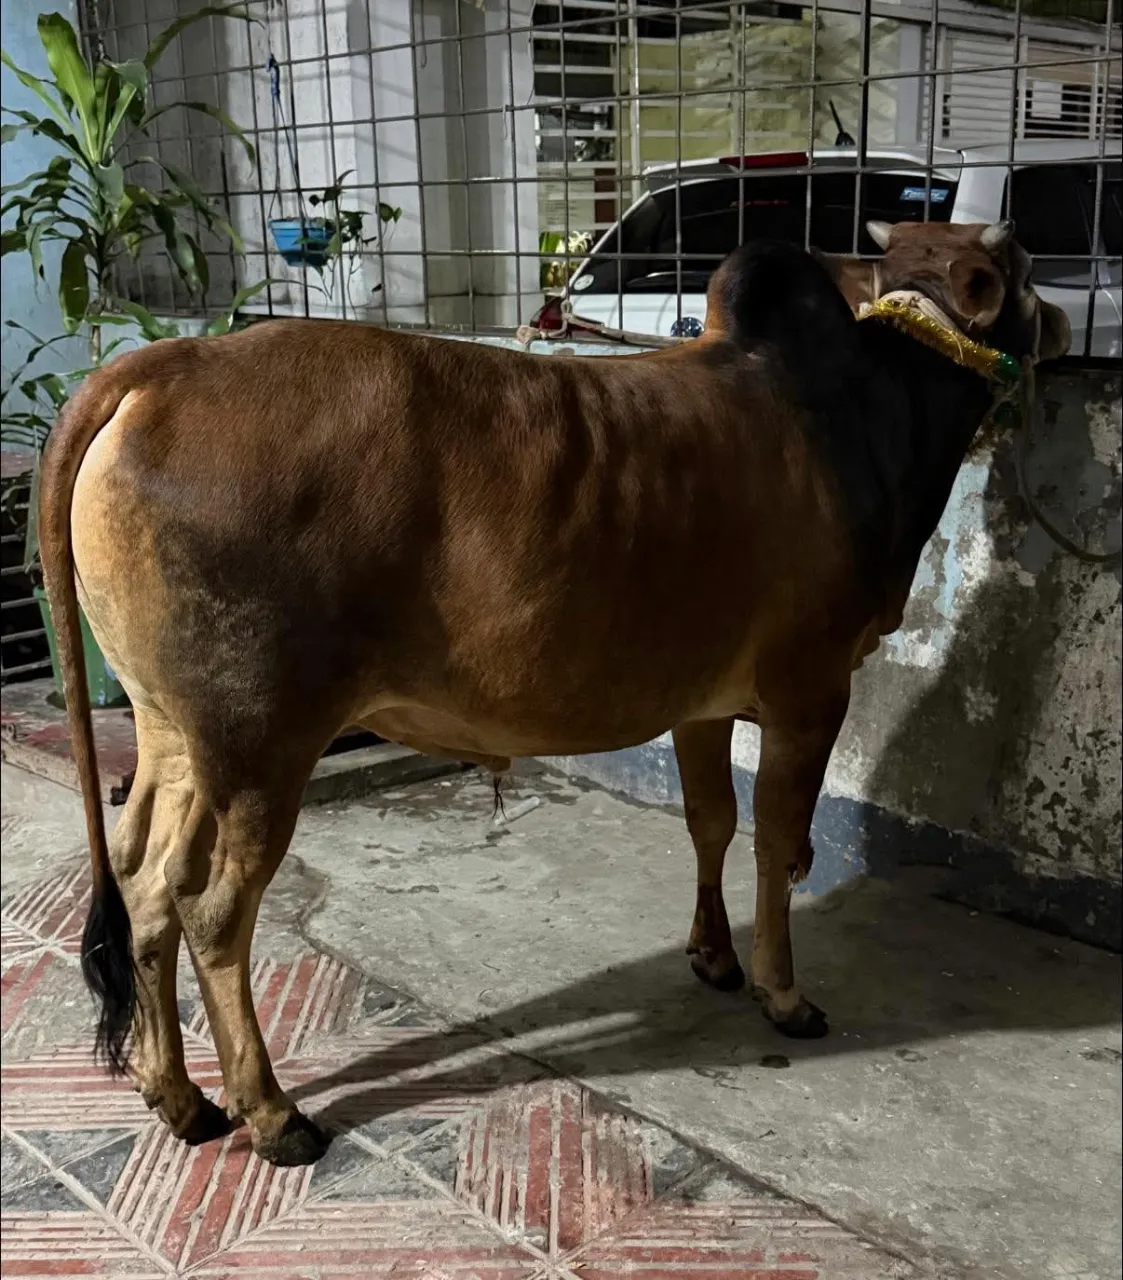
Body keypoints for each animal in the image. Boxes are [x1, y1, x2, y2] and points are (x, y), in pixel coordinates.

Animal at [38, 222, 1070, 1167]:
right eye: (1020, 265)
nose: (1060, 320)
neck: (863, 413)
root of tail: (162, 364)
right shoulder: (808, 691)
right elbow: (780, 845)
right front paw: (783, 994)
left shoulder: (700, 702)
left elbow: (709, 822)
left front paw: (713, 955)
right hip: (260, 745)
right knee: (211, 907)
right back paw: (270, 1112)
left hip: (175, 732)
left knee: (141, 878)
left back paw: (177, 1097)